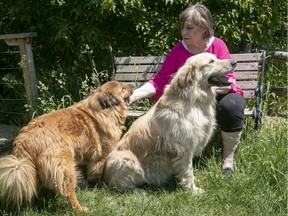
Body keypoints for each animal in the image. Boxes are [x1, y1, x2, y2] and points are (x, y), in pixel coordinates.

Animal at [0, 80, 133, 211]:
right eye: (123, 88)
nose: (132, 85)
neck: (104, 109)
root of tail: (24, 140)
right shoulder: (101, 157)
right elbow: (99, 174)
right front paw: (101, 187)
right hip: (65, 168)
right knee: (68, 192)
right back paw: (79, 209)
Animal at [103, 52, 236, 194]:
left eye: (216, 57)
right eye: (211, 61)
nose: (234, 62)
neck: (193, 99)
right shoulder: (184, 148)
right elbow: (188, 172)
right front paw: (192, 190)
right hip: (125, 159)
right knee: (119, 187)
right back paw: (138, 191)